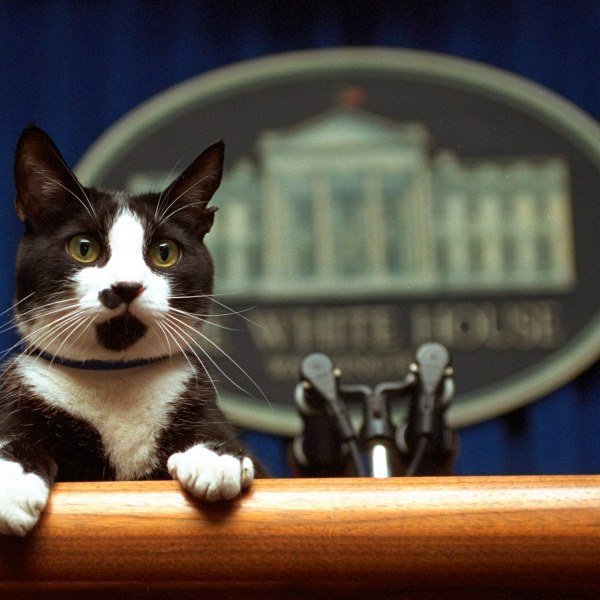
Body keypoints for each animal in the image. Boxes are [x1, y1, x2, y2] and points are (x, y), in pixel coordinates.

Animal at [1, 125, 262, 536]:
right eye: (84, 247)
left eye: (164, 252)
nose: (126, 286)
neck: (115, 377)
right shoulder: (22, 396)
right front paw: (12, 482)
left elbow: (219, 435)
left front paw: (215, 457)